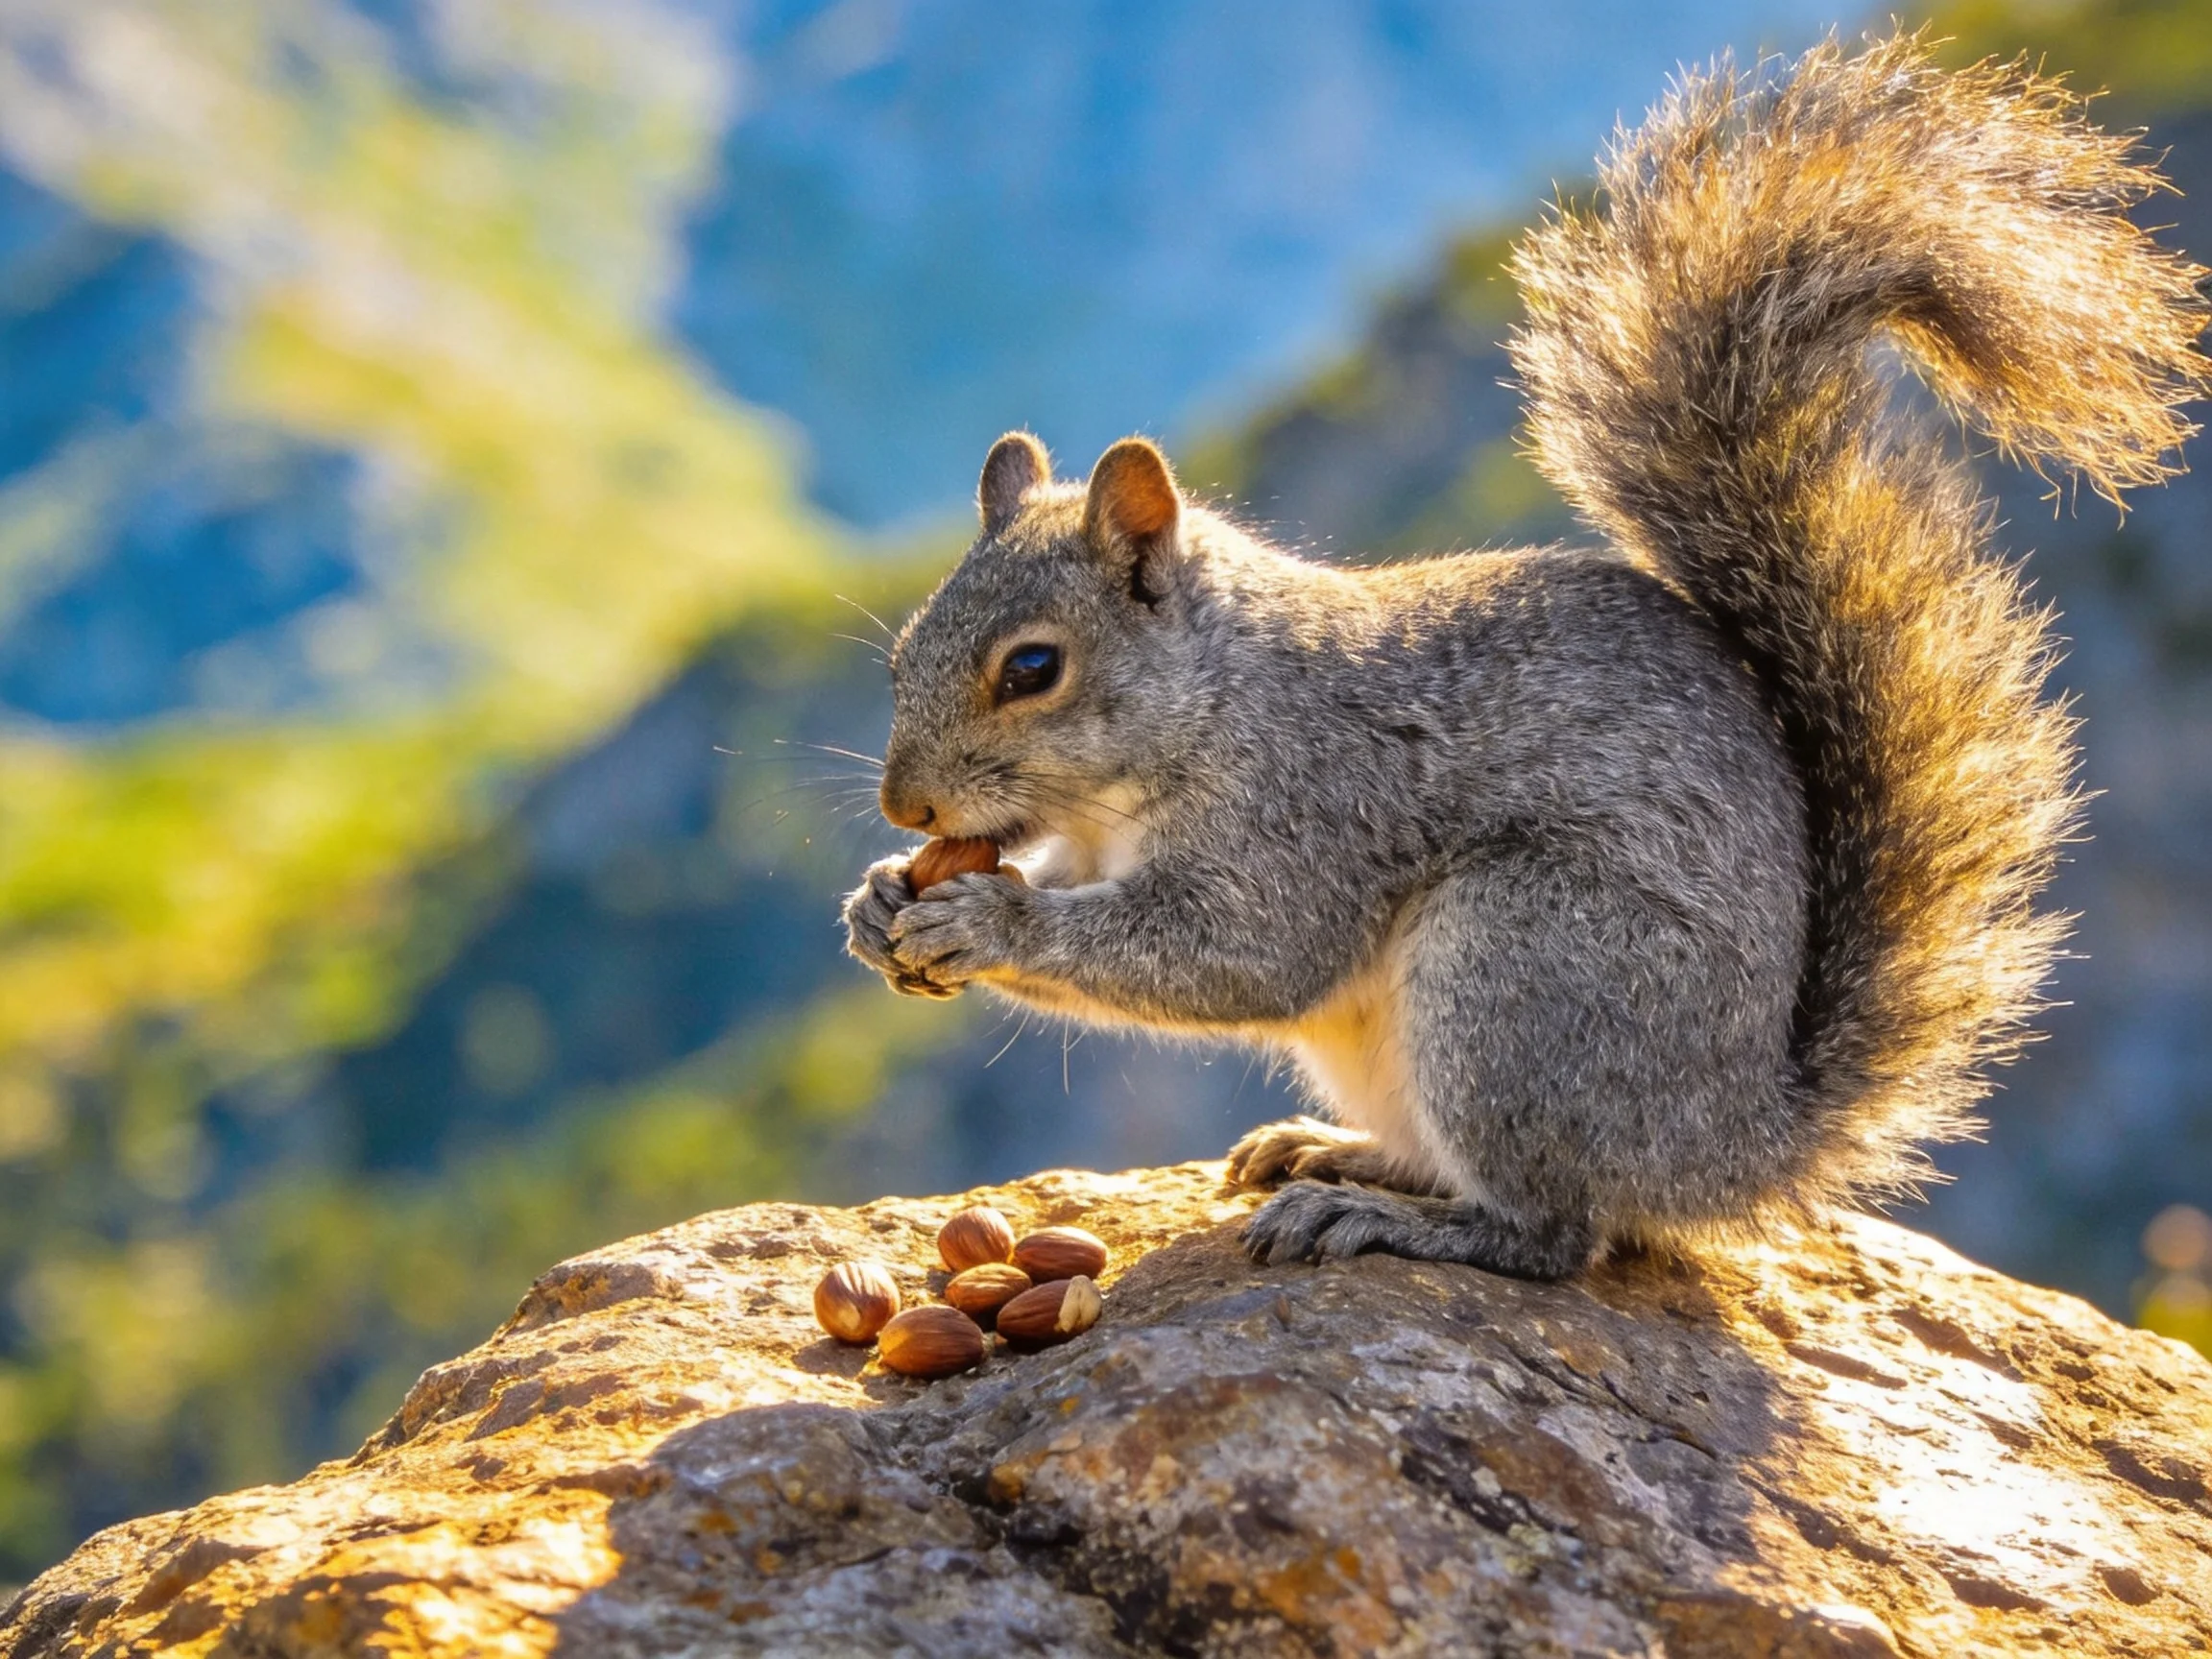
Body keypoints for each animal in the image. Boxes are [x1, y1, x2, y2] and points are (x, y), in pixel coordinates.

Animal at [842, 33, 2210, 1280]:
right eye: (902, 652)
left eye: (1033, 669)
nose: (907, 806)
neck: (1213, 700)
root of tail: (1735, 1148)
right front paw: (881, 900)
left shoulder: (1309, 811)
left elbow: (1238, 953)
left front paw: (990, 920)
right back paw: (1337, 1152)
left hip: (1521, 967)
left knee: (1554, 1233)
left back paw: (1388, 1216)